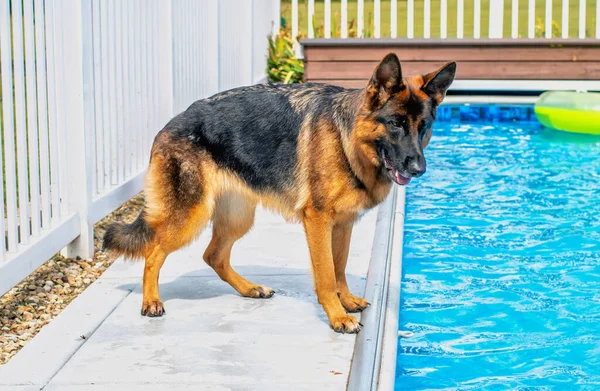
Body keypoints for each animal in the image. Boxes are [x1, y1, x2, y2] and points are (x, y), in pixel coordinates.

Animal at [104, 54, 454, 334]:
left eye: (423, 127)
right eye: (395, 123)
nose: (419, 168)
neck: (348, 140)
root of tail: (168, 125)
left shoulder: (343, 223)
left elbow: (339, 267)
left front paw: (346, 300)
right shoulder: (318, 220)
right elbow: (326, 274)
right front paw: (337, 316)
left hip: (238, 217)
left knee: (213, 255)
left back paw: (250, 289)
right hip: (191, 216)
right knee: (154, 252)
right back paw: (151, 301)